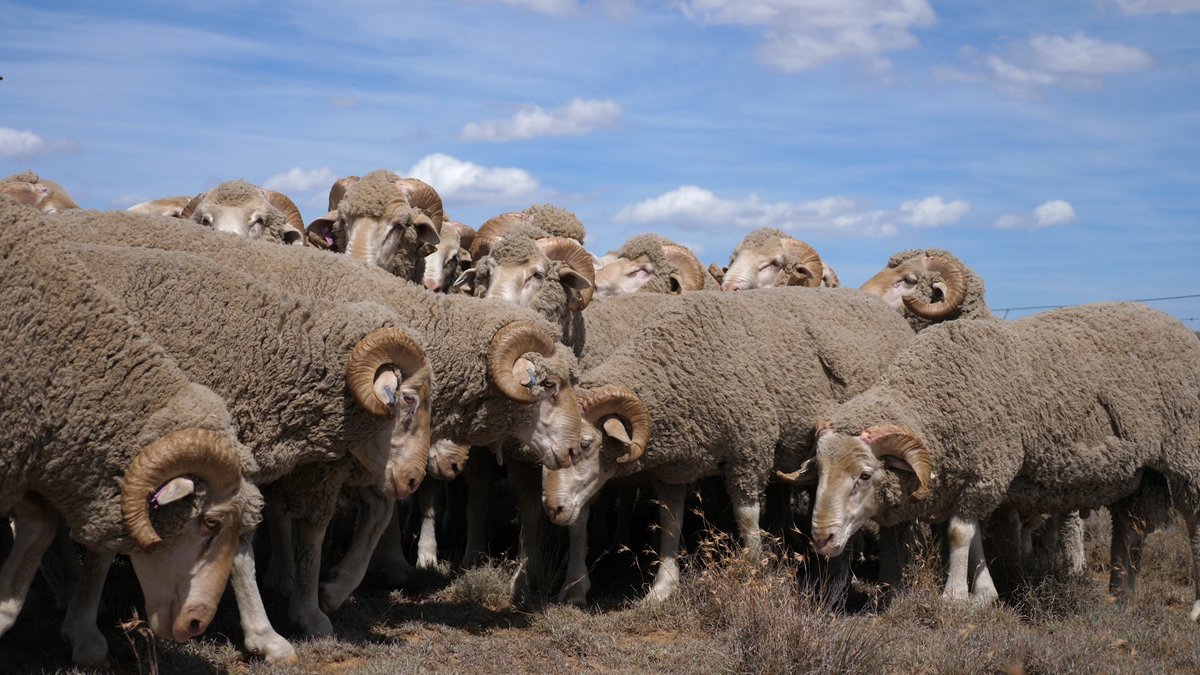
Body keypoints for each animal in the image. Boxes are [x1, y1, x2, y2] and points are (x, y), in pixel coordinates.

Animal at [542, 288, 916, 603]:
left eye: (586, 444)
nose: (553, 508)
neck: (681, 365)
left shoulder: (749, 449)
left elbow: (746, 520)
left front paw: (756, 574)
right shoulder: (674, 468)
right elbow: (670, 524)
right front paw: (661, 589)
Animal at [794, 303, 1200, 616]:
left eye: (864, 475)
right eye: (820, 473)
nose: (822, 538)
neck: (938, 393)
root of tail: (1177, 326)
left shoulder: (989, 467)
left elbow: (959, 533)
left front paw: (955, 597)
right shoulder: (972, 475)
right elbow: (971, 532)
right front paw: (984, 594)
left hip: (1186, 455)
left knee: (1193, 524)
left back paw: (1192, 607)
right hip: (1140, 474)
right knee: (1128, 529)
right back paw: (1121, 594)